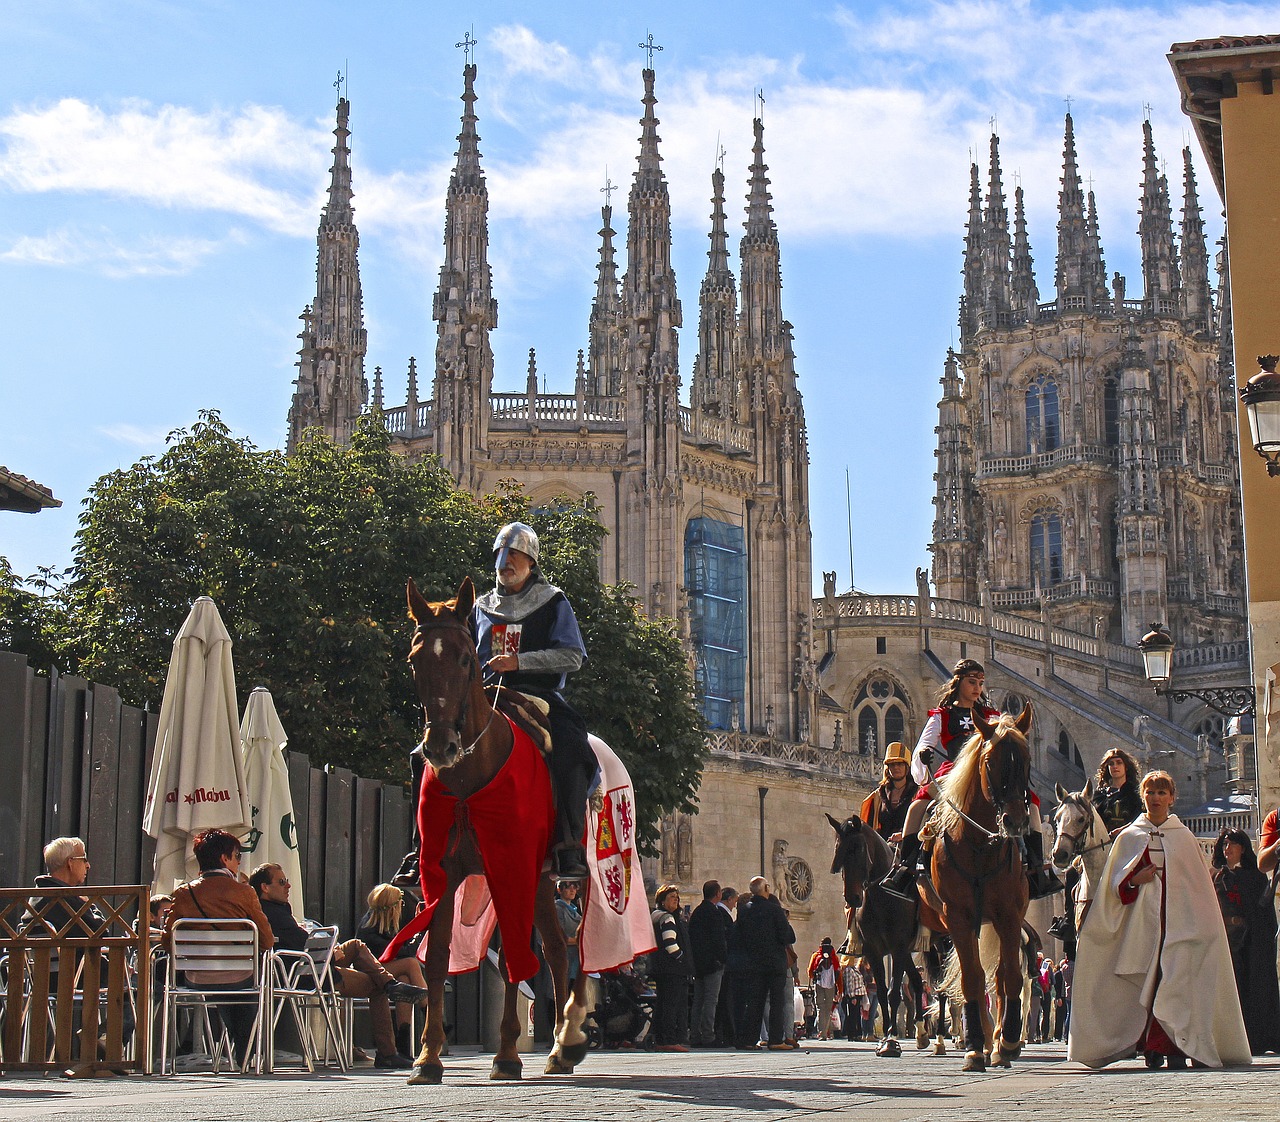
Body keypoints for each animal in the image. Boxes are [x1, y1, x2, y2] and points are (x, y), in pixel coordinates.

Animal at [401, 573, 586, 1079]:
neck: (470, 777)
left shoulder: (512, 869)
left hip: (541, 877)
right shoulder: (443, 876)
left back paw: (562, 1045)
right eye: (415, 659)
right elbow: (437, 959)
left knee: (553, 953)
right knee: (555, 950)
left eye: (466, 659)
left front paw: (506, 1055)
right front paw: (428, 1057)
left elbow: (512, 965)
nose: (439, 747)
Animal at [926, 706, 1034, 1074]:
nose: (1015, 822)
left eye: (1027, 761)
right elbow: (971, 979)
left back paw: (1000, 1042)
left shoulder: (1008, 914)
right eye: (989, 762)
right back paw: (984, 1041)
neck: (977, 846)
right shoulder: (958, 917)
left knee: (1000, 978)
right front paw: (974, 1047)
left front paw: (1009, 1041)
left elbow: (1009, 977)